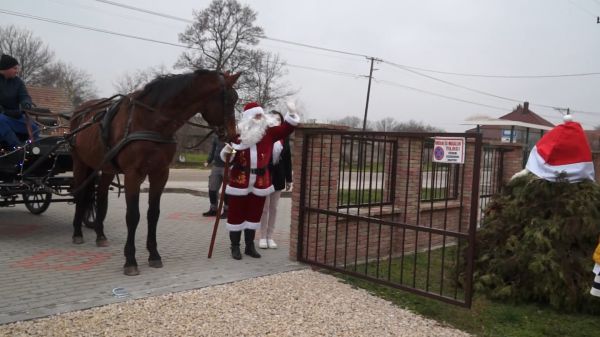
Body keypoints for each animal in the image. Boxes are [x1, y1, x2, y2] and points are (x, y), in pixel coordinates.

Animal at [69, 69, 239, 274]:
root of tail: (81, 111)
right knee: (80, 196)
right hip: (80, 164)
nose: (233, 135)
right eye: (230, 100)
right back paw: (77, 232)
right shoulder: (133, 175)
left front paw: (154, 254)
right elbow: (133, 216)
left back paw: (100, 235)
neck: (151, 121)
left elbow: (153, 214)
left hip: (105, 168)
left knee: (101, 198)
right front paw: (130, 260)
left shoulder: (160, 174)